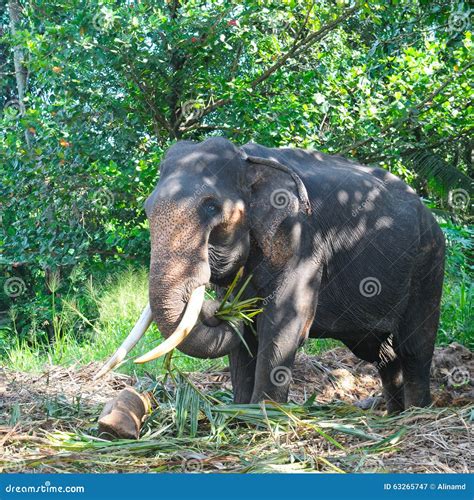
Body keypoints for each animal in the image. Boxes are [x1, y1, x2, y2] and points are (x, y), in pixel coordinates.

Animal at [98, 138, 446, 414]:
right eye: (147, 209)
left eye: (211, 207)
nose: (214, 309)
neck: (248, 161)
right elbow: (244, 333)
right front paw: (240, 413)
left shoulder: (302, 238)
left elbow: (283, 319)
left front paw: (263, 417)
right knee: (379, 352)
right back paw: (394, 414)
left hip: (429, 262)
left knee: (414, 345)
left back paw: (417, 414)